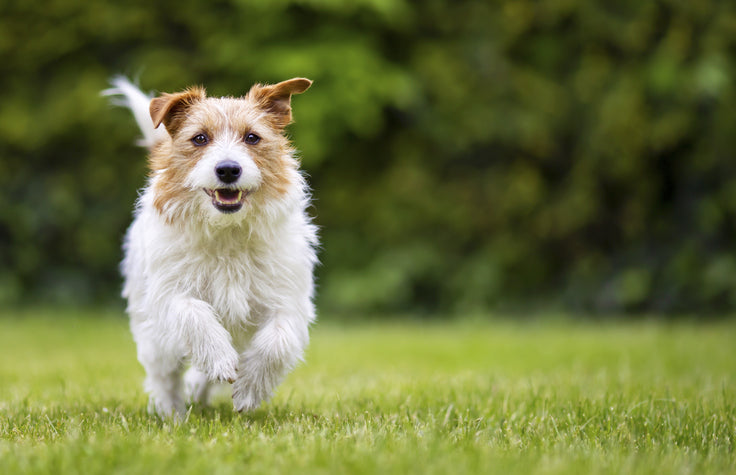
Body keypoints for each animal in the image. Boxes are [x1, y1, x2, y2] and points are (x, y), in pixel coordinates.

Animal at [105, 76, 318, 418]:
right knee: (163, 375)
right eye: (200, 138)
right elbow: (194, 314)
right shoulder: (170, 294)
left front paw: (249, 388)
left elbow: (276, 342)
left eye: (252, 137)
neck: (227, 231)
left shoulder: (288, 302)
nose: (228, 169)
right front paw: (219, 358)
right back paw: (172, 413)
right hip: (154, 337)